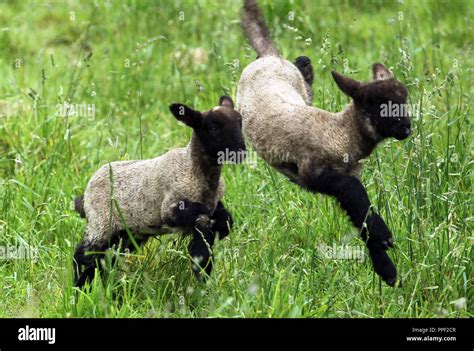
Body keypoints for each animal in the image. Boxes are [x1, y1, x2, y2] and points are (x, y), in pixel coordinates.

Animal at [73, 96, 248, 288]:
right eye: (214, 128)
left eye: (240, 123)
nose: (241, 152)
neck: (197, 172)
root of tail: (84, 197)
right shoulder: (173, 208)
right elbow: (201, 249)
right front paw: (202, 283)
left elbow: (224, 223)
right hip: (101, 223)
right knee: (83, 257)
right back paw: (80, 289)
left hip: (127, 232)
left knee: (106, 258)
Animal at [237, 0, 412, 286]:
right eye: (376, 104)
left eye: (404, 101)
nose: (406, 127)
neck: (340, 134)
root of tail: (268, 58)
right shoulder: (312, 173)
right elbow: (354, 192)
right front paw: (385, 237)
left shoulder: (344, 179)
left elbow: (359, 214)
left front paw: (387, 271)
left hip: (299, 88)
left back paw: (304, 65)